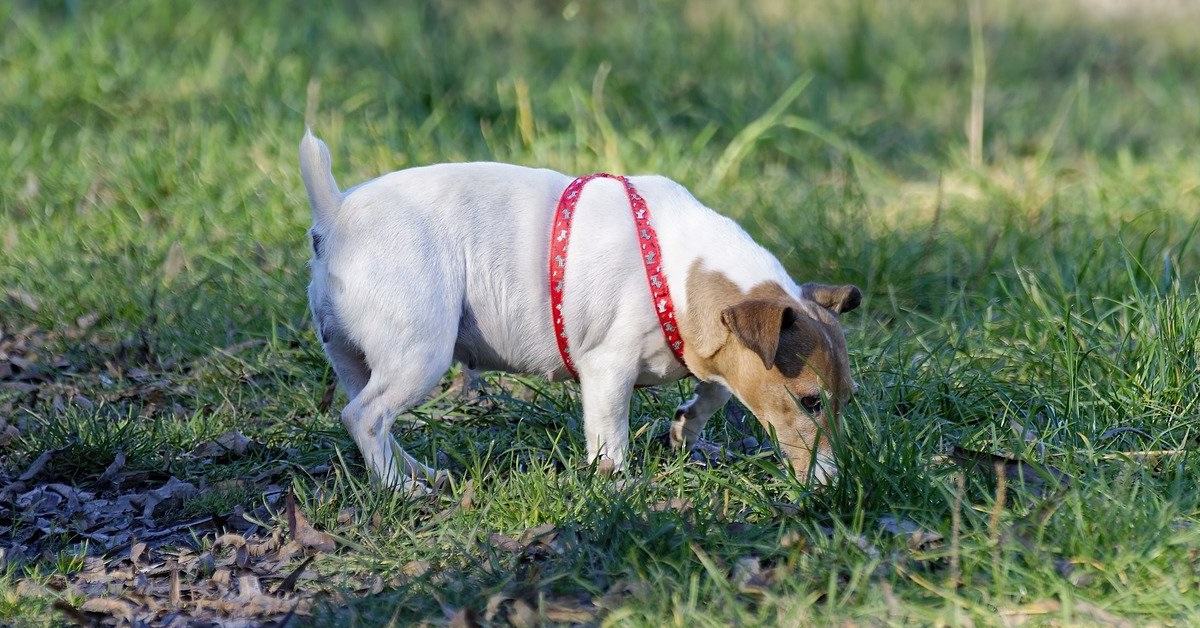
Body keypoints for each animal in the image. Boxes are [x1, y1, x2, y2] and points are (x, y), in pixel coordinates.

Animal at [300, 130, 864, 494]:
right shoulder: (607, 370)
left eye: (847, 400)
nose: (839, 484)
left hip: (358, 360)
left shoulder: (714, 352)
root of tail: (336, 213)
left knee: (372, 417)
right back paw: (399, 487)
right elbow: (610, 438)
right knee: (364, 417)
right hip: (420, 355)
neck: (675, 270)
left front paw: (685, 429)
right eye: (810, 401)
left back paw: (415, 471)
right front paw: (619, 485)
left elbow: (715, 392)